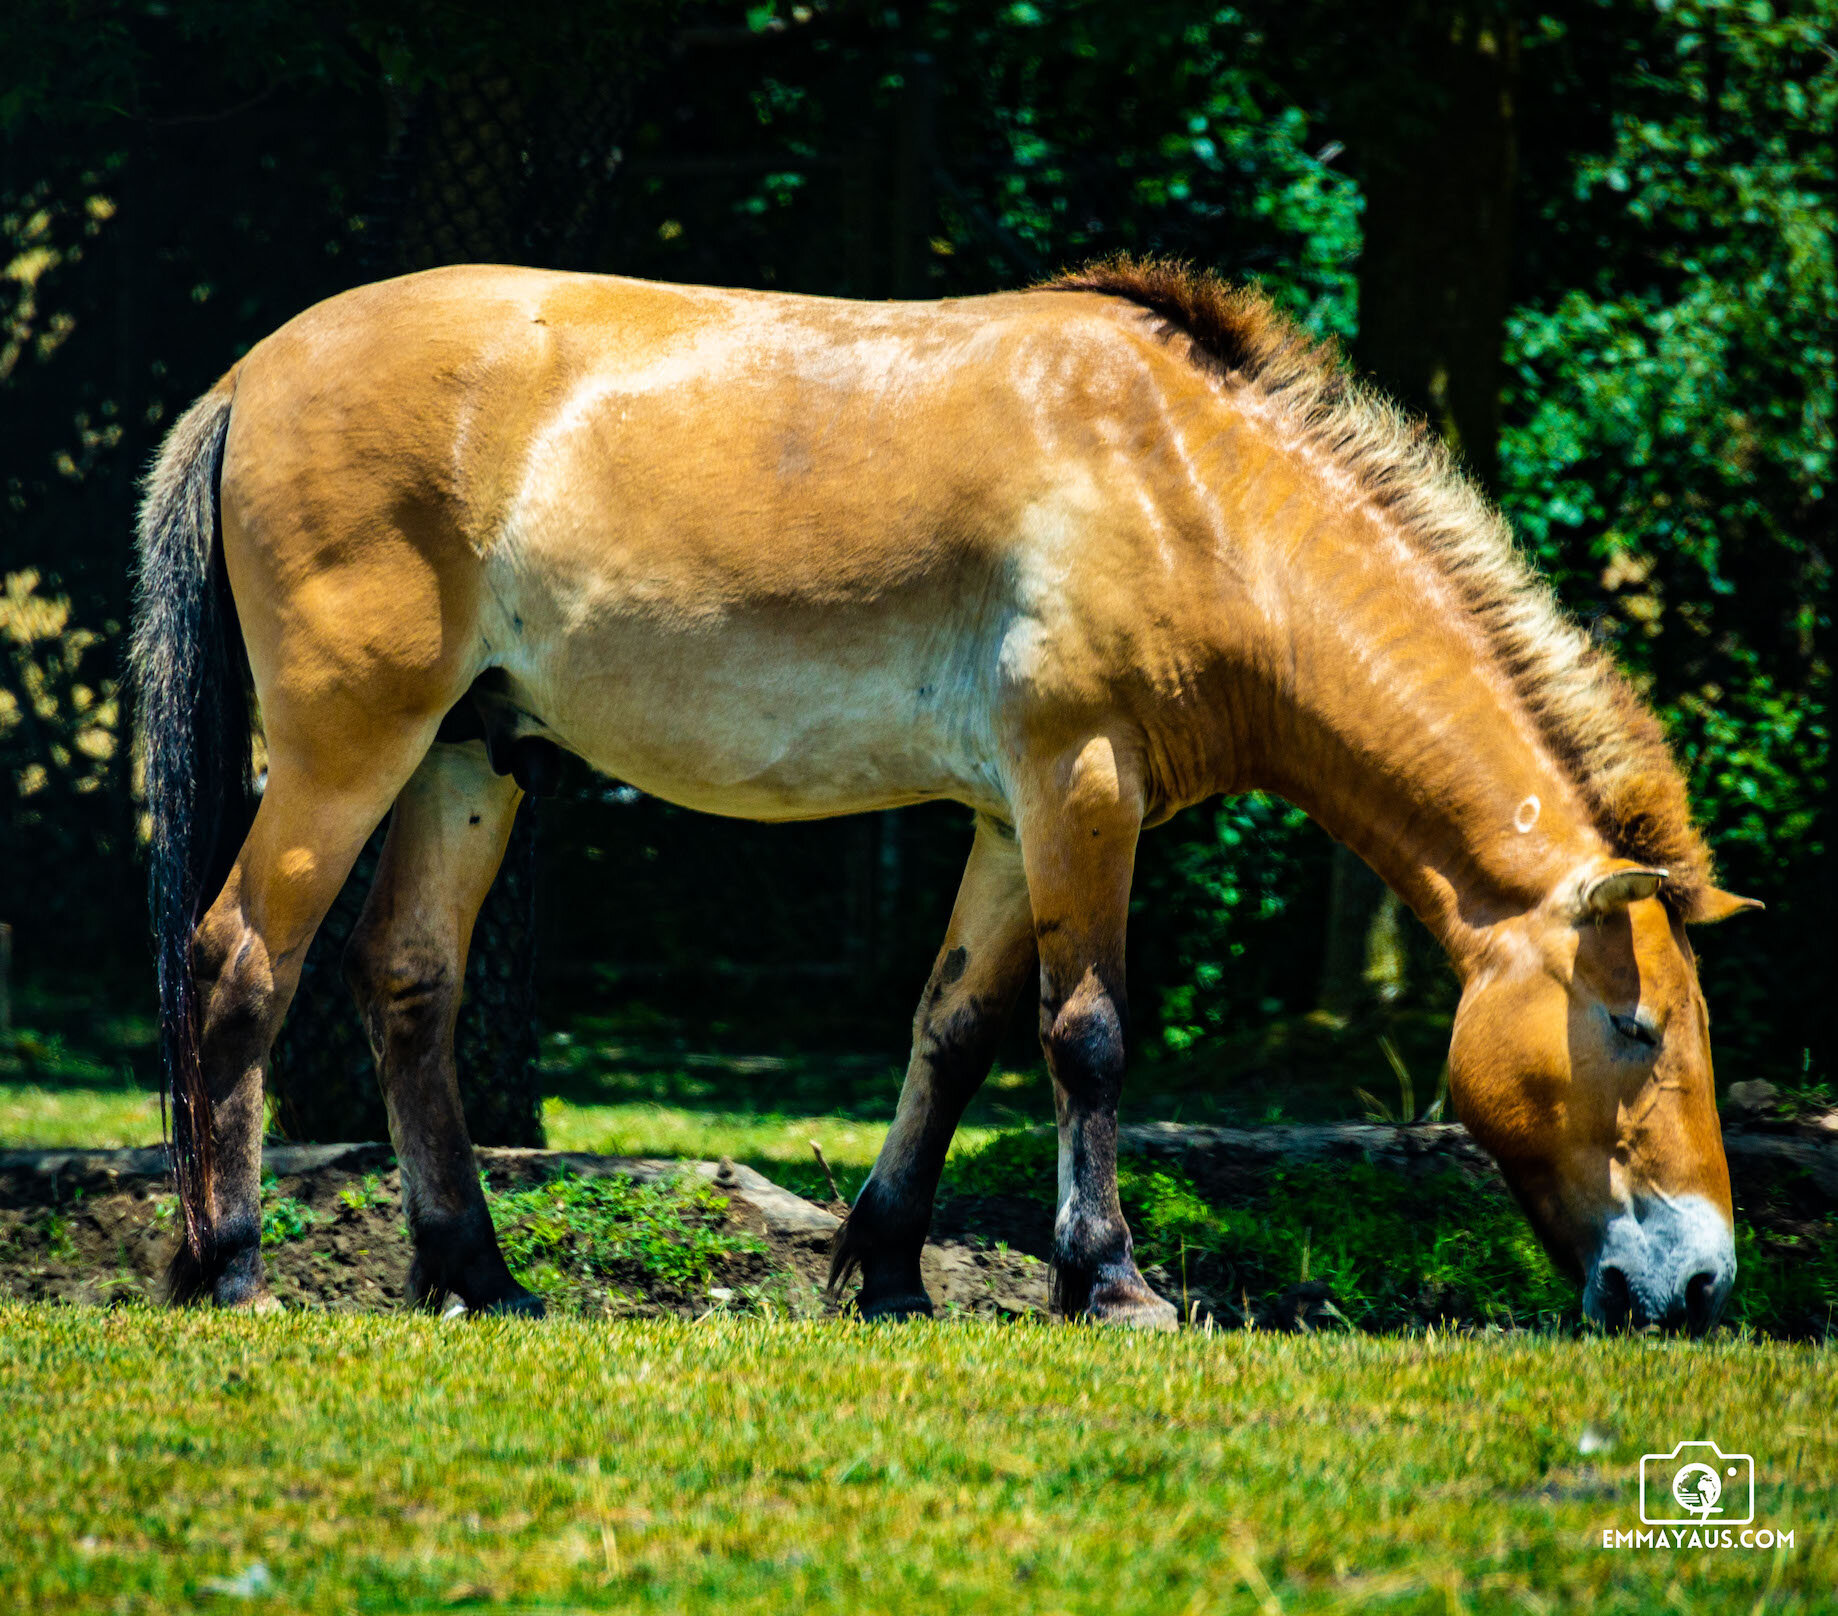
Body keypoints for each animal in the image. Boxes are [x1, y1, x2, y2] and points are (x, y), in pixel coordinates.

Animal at [136, 259, 1757, 1331]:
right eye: (1636, 1030)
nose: (1696, 1280)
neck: (1196, 494)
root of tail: (250, 374)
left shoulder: (1006, 821)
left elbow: (956, 1030)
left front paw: (891, 1270)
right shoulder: (1078, 790)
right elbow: (1086, 1036)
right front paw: (1108, 1281)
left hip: (469, 757)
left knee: (406, 982)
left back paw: (477, 1273)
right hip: (350, 746)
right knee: (238, 963)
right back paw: (232, 1266)